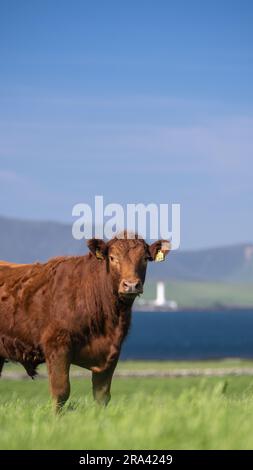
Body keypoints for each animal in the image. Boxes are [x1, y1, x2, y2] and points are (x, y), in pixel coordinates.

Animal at [0, 233, 170, 410]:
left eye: (144, 258)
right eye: (112, 258)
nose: (131, 285)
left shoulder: (112, 354)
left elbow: (102, 395)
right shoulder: (57, 346)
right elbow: (61, 392)